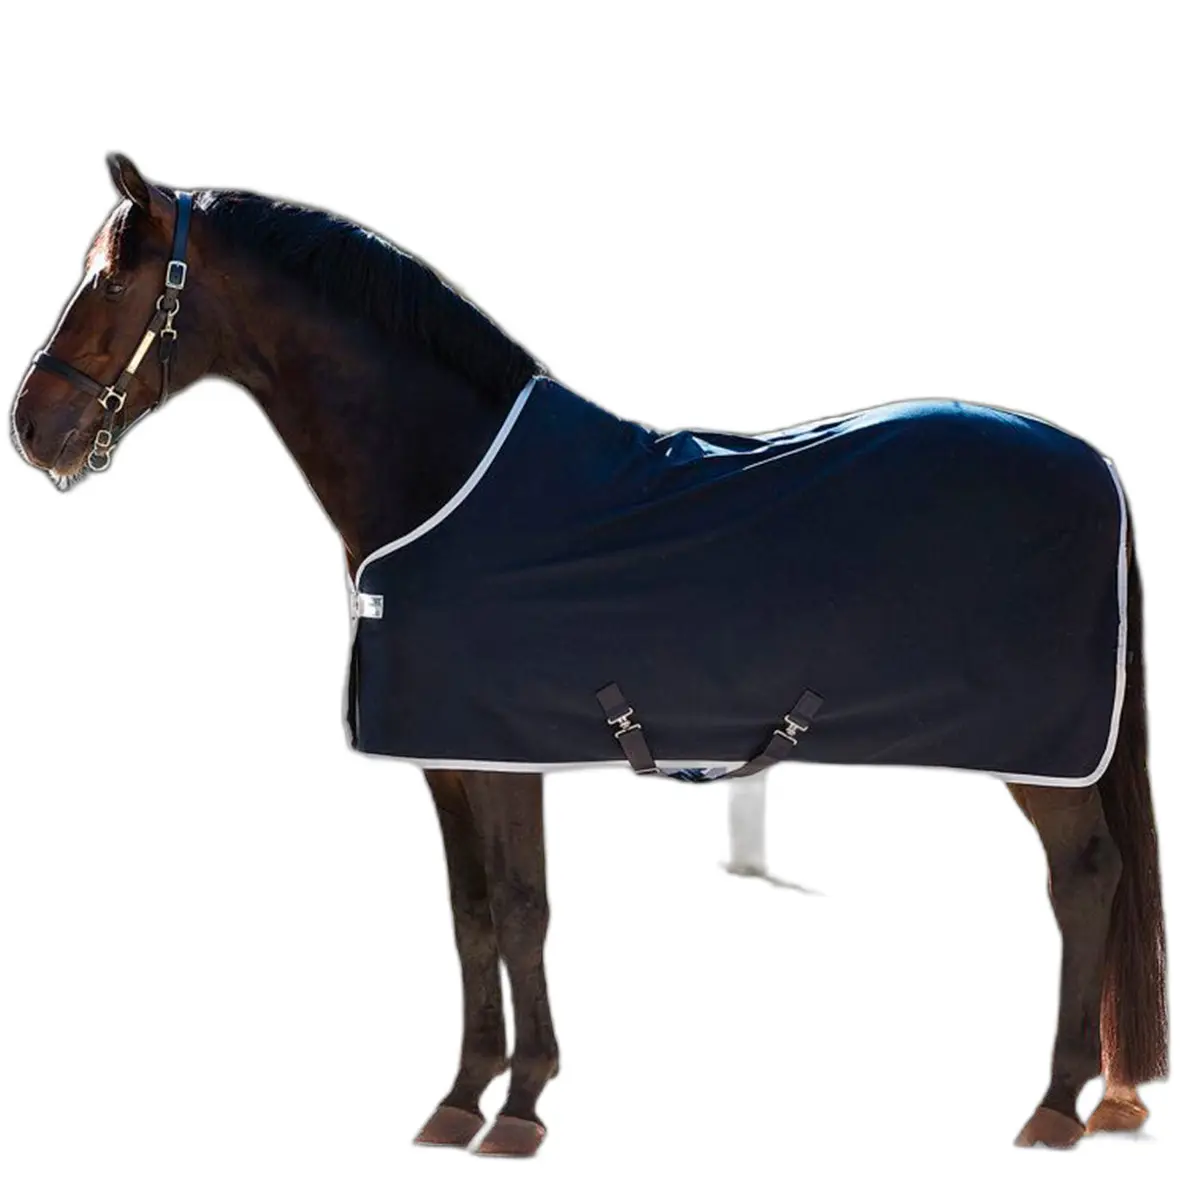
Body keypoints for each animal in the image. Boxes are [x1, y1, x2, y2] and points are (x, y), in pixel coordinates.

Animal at [9, 155, 1168, 1155]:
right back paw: (1098, 1101)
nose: (30, 428)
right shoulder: (452, 763)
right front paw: (461, 1100)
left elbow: (524, 913)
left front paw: (520, 1110)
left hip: (1046, 759)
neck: (444, 480)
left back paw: (1056, 1106)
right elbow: (473, 917)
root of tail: (1102, 469)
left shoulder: (502, 758)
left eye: (111, 278)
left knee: (1086, 882)